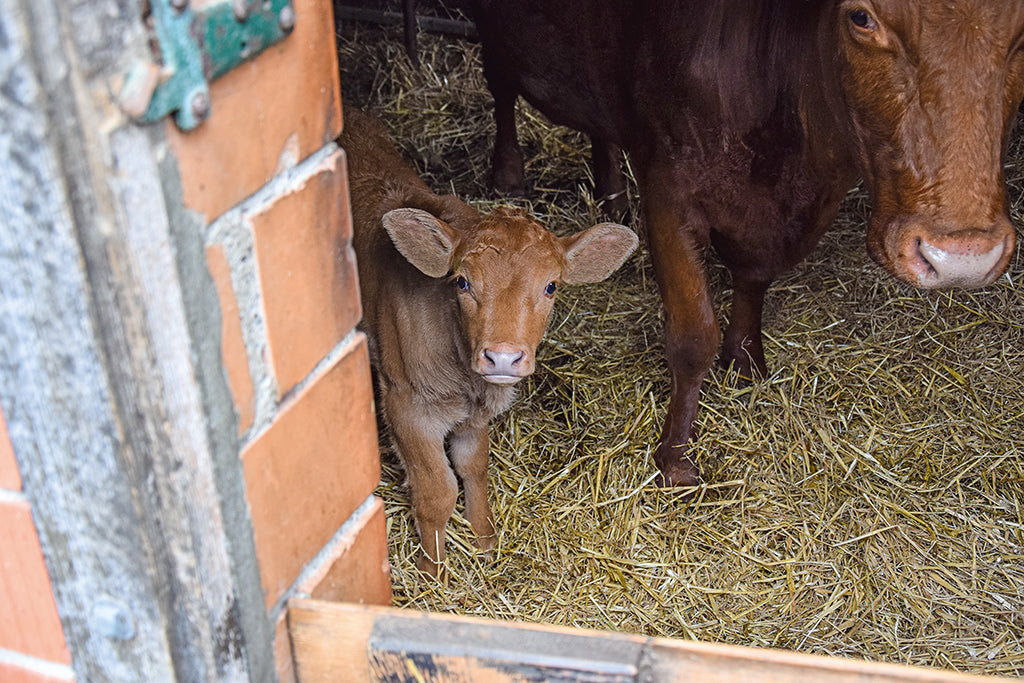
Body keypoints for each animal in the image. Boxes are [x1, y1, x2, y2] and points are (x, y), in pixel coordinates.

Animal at [339, 108, 634, 577]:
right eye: (461, 281)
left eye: (551, 286)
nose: (503, 357)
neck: (465, 379)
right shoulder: (405, 403)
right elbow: (438, 488)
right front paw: (433, 570)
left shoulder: (477, 410)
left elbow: (474, 467)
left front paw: (485, 541)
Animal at [468, 0, 1015, 485]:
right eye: (861, 16)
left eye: (1020, 31)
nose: (961, 258)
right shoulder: (669, 192)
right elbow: (693, 338)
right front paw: (675, 460)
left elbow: (754, 279)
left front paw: (747, 361)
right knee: (500, 89)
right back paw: (508, 175)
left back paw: (611, 195)